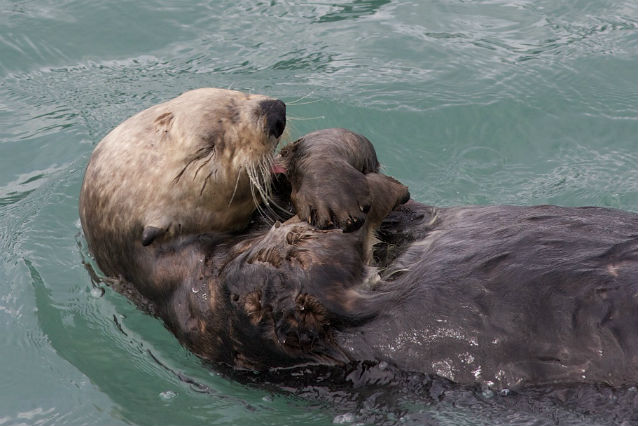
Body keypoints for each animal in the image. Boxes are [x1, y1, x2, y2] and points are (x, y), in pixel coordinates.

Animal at [80, 88, 638, 392]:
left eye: (231, 95)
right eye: (205, 149)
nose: (273, 110)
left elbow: (346, 144)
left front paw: (332, 187)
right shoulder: (232, 298)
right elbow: (314, 269)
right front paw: (351, 202)